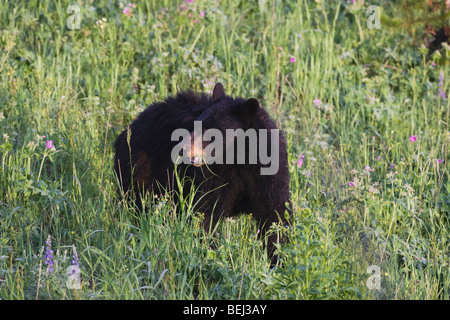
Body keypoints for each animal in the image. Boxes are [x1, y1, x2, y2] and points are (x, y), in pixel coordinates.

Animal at [114, 84, 290, 258]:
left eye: (210, 131)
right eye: (195, 125)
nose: (181, 149)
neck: (239, 161)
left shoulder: (268, 173)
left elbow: (274, 214)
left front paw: (278, 257)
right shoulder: (212, 176)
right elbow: (206, 213)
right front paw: (208, 251)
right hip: (140, 168)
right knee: (139, 203)